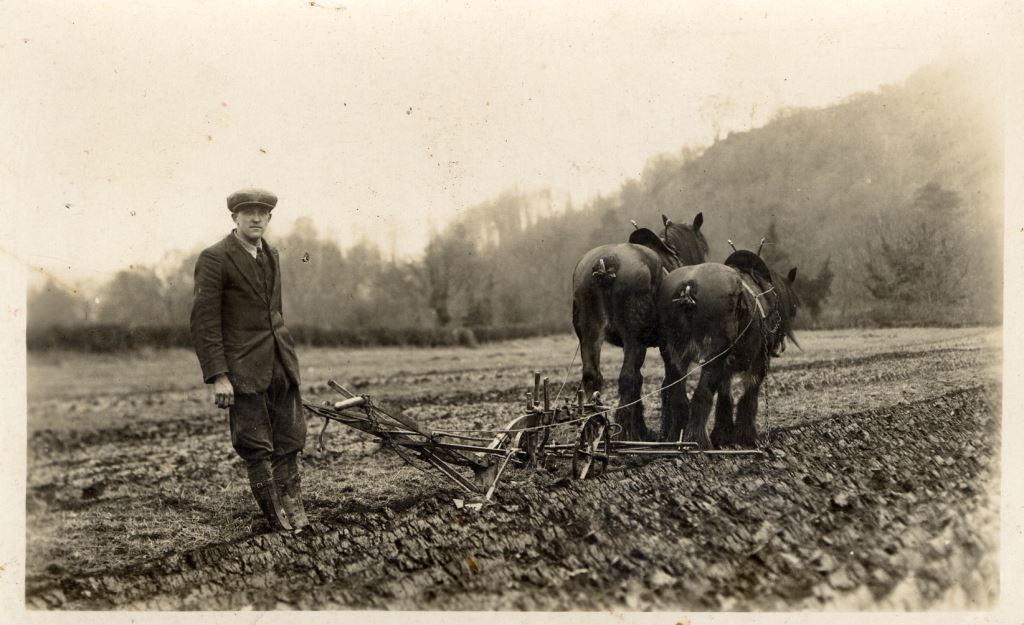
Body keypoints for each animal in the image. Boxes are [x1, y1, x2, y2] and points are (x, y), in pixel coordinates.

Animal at [573, 212, 708, 440]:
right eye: (704, 247)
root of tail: (606, 262)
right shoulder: (672, 347)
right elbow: (672, 382)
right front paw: (675, 428)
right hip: (634, 340)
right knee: (627, 379)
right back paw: (626, 434)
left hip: (590, 335)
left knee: (593, 378)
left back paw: (594, 430)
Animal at [655, 247, 798, 446]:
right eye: (792, 309)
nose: (780, 346)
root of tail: (689, 285)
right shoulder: (759, 360)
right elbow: (749, 393)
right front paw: (746, 435)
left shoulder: (727, 363)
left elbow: (725, 393)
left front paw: (723, 433)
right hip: (714, 355)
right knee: (702, 394)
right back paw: (698, 441)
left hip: (674, 355)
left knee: (677, 395)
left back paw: (675, 437)